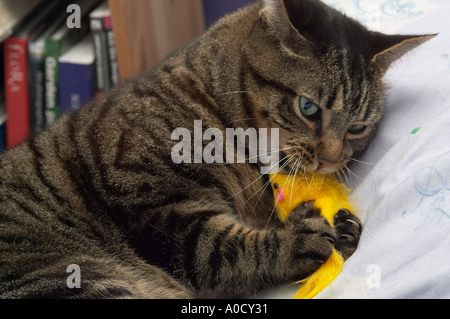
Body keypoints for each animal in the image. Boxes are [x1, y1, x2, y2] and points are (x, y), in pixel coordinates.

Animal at [0, 0, 436, 300]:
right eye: (308, 108)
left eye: (358, 127)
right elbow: (222, 251)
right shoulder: (152, 207)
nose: (332, 160)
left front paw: (336, 225)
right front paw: (299, 239)